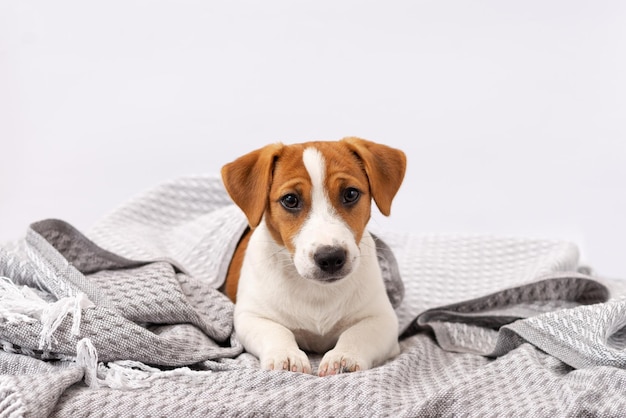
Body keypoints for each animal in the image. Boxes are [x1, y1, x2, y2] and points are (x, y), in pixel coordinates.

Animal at [222, 137, 408, 376]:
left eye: (350, 194)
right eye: (290, 200)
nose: (330, 257)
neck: (317, 291)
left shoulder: (383, 319)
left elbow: (358, 334)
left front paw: (343, 357)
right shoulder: (250, 316)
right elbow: (276, 331)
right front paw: (286, 356)